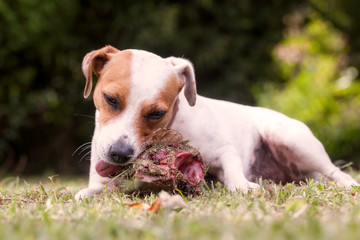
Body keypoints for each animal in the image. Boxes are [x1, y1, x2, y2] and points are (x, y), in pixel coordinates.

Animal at [75, 46, 358, 200]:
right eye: (110, 99)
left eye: (156, 113)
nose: (119, 154)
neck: (172, 129)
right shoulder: (101, 182)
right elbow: (90, 191)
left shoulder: (224, 150)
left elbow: (233, 170)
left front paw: (242, 185)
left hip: (289, 137)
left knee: (335, 171)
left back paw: (349, 184)